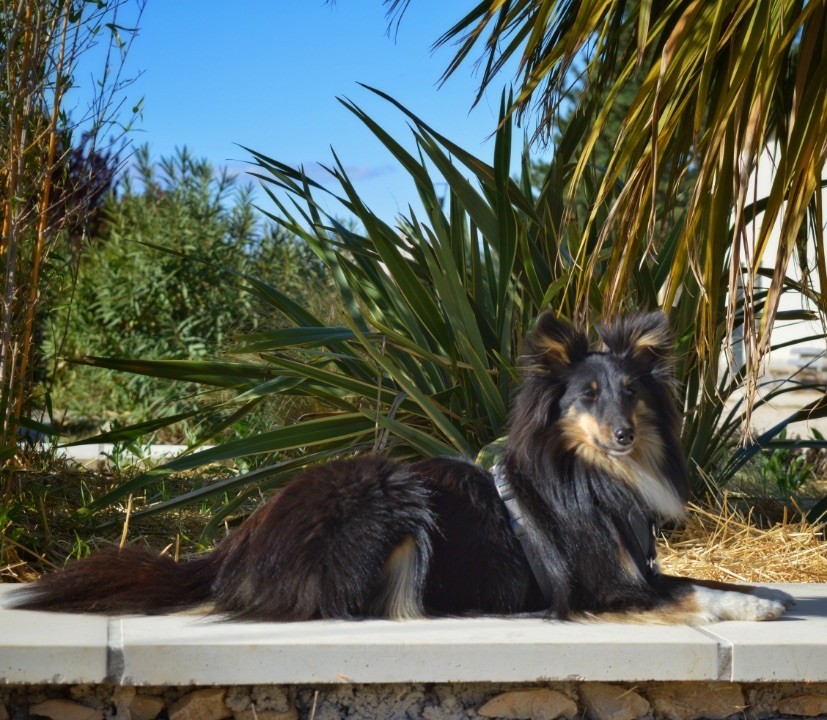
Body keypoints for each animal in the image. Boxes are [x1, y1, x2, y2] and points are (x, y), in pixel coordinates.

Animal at [9, 312, 792, 620]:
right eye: (587, 397)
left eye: (631, 391)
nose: (624, 434)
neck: (594, 476)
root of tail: (236, 539)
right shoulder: (600, 589)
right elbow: (686, 595)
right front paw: (756, 606)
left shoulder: (641, 569)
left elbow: (699, 579)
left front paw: (765, 594)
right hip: (395, 493)